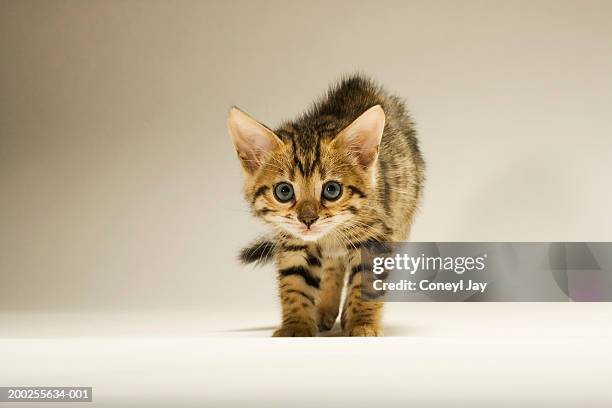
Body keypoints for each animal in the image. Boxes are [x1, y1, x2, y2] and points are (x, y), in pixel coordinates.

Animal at [227, 75, 424, 336]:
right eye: (284, 191)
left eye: (332, 190)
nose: (308, 219)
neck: (330, 235)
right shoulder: (292, 242)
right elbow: (295, 283)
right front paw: (297, 325)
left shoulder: (377, 236)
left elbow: (367, 282)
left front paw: (362, 322)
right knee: (333, 267)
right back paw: (324, 309)